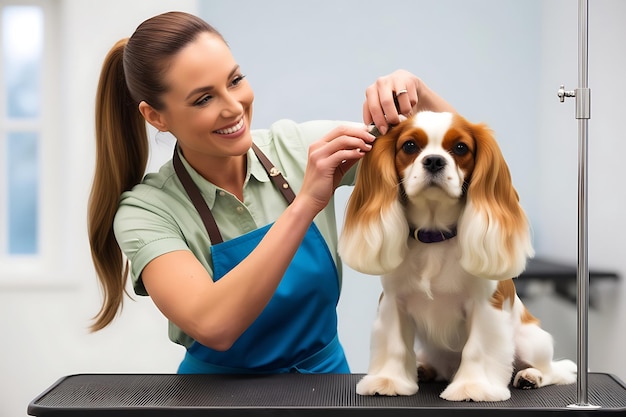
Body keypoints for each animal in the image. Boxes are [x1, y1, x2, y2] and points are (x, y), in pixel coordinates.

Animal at [338, 109, 572, 400]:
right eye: (409, 146)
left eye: (461, 148)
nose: (434, 161)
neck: (434, 236)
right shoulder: (393, 302)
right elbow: (395, 345)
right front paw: (388, 381)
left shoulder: (485, 306)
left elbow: (476, 349)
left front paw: (473, 387)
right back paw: (425, 369)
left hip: (532, 341)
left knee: (554, 371)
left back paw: (531, 376)